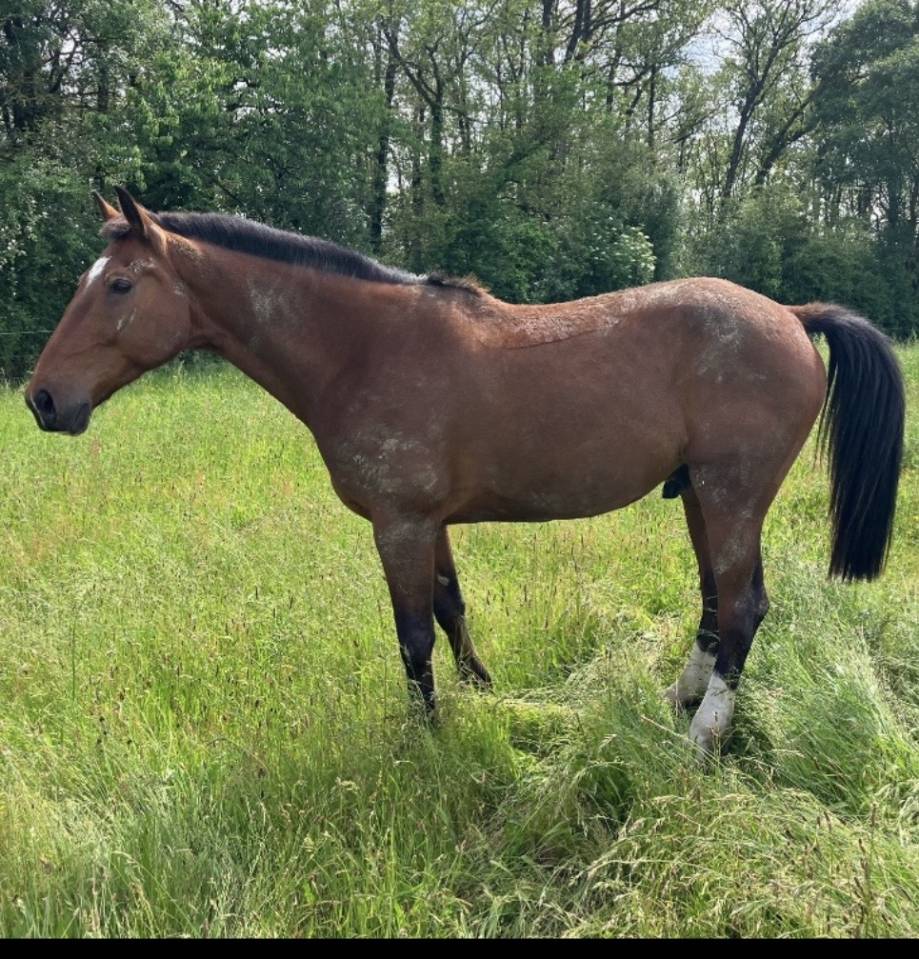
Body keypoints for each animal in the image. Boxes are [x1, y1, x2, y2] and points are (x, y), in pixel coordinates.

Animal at [25, 188, 905, 756]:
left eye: (119, 284)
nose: (42, 398)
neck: (362, 348)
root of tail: (789, 315)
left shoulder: (400, 525)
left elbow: (412, 635)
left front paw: (428, 737)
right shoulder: (429, 524)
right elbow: (451, 610)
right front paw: (483, 696)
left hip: (730, 494)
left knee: (744, 605)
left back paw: (701, 734)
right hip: (699, 494)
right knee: (717, 601)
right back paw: (674, 700)